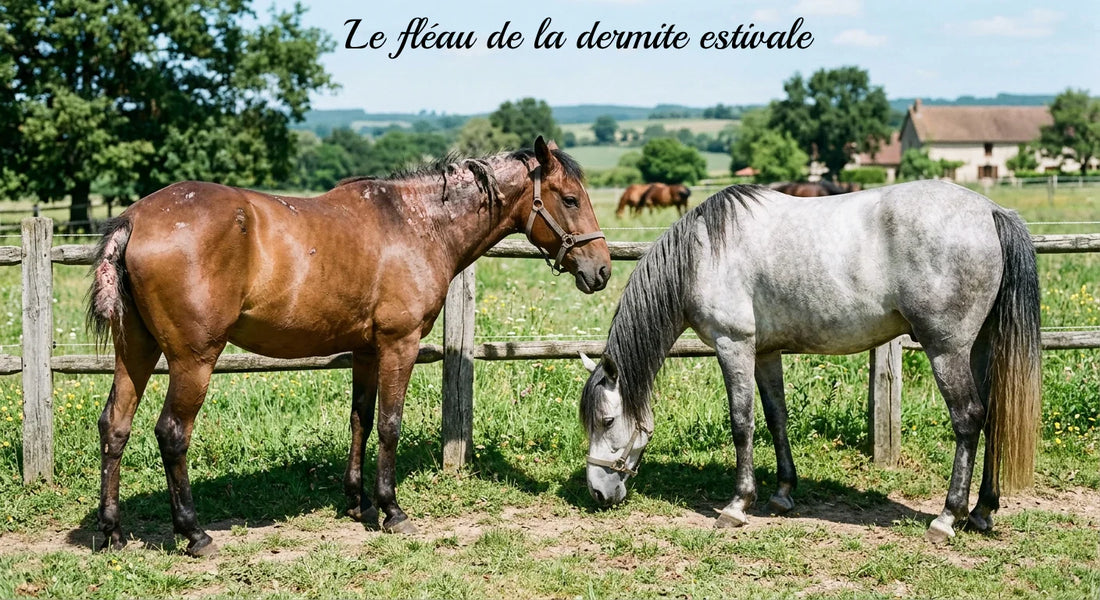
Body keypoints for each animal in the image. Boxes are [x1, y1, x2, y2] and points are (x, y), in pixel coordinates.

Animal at [87, 137, 611, 556]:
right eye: (569, 198)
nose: (602, 269)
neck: (417, 224)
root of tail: (134, 219)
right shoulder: (399, 345)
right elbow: (389, 425)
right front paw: (391, 509)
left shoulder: (365, 351)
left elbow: (360, 420)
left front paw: (357, 502)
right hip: (193, 359)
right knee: (172, 433)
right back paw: (194, 534)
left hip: (135, 351)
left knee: (115, 425)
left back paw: (112, 532)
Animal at [578, 181, 1040, 543]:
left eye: (606, 421)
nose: (597, 493)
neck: (703, 253)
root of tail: (992, 211)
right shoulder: (765, 352)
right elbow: (776, 417)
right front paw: (783, 493)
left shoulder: (734, 346)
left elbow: (742, 423)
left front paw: (737, 504)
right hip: (979, 346)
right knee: (993, 415)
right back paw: (982, 511)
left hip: (946, 349)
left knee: (968, 418)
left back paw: (947, 517)